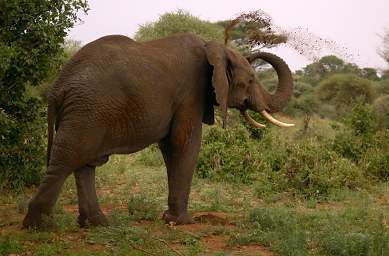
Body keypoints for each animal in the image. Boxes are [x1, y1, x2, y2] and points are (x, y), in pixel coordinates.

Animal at [22, 32, 292, 228]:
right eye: (250, 80)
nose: (254, 53)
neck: (212, 47)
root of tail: (58, 85)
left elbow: (170, 146)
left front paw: (170, 219)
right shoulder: (190, 93)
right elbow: (185, 142)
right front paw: (183, 222)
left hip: (85, 112)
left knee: (84, 162)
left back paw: (96, 224)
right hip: (87, 109)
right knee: (67, 159)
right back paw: (39, 227)